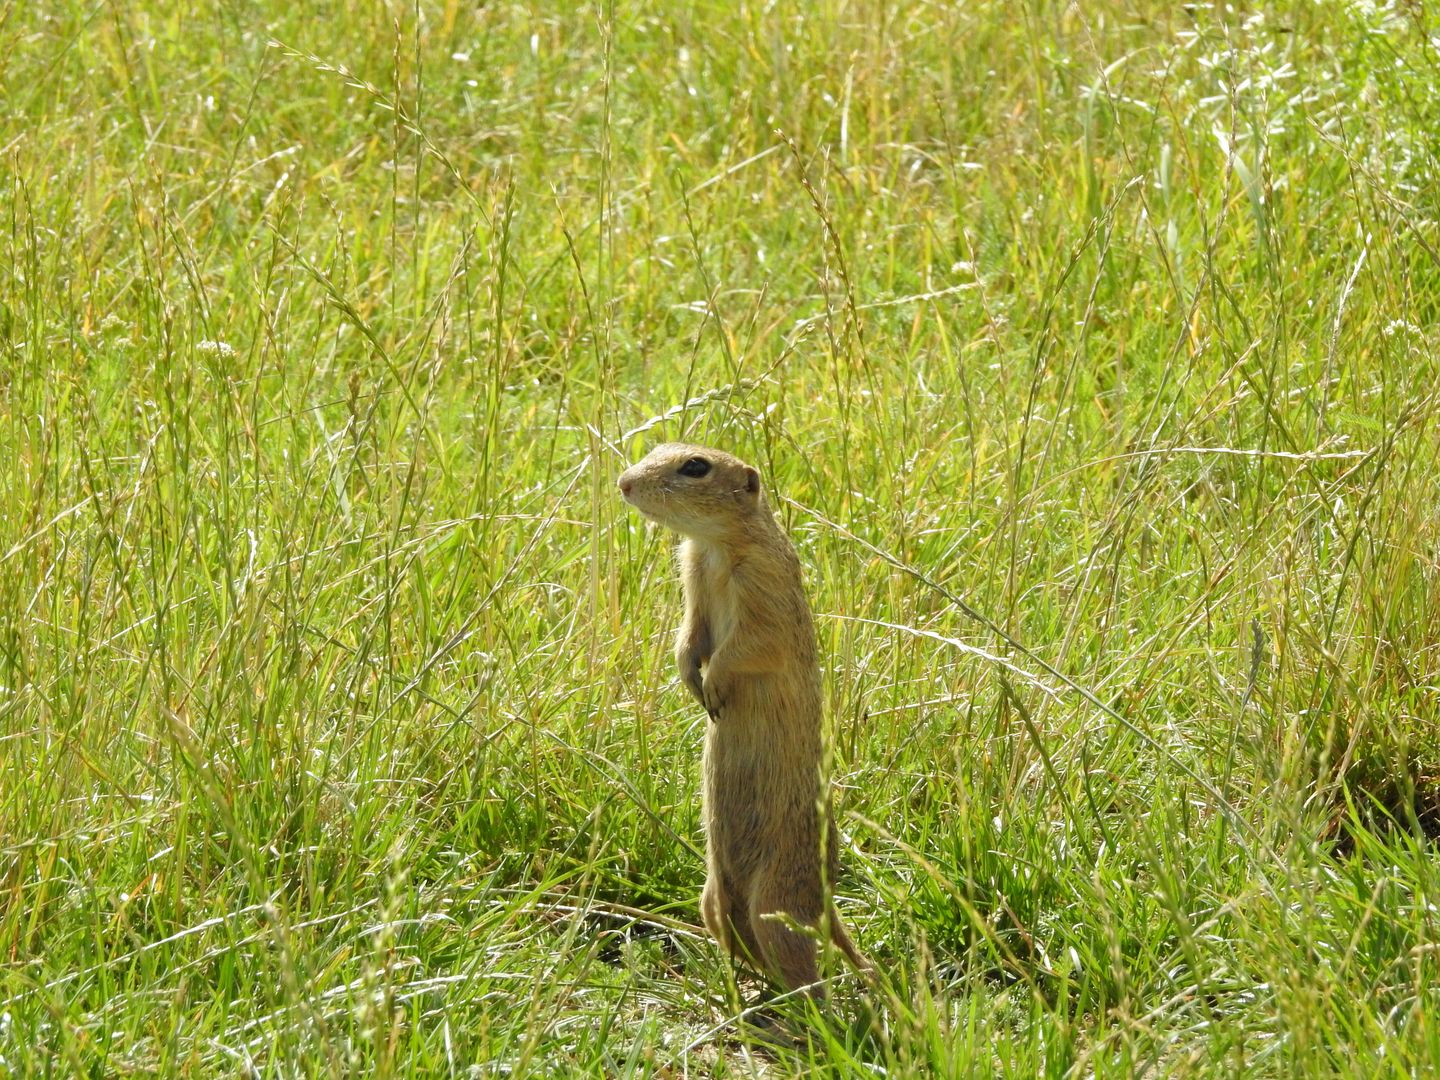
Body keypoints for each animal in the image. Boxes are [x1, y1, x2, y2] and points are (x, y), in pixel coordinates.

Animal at [616, 440, 869, 996]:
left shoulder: (765, 587)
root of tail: (827, 903)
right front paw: (691, 679)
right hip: (712, 902)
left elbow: (748, 646)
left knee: (804, 972)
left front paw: (712, 685)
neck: (713, 547)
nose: (624, 482)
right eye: (658, 447)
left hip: (775, 904)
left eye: (695, 467)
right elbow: (689, 635)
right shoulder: (692, 582)